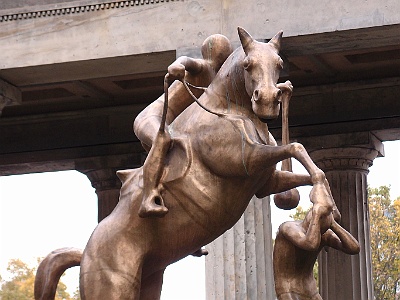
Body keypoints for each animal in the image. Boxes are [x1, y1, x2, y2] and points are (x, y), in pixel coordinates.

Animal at [36, 27, 332, 298]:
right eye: (248, 65)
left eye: (279, 64)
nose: (269, 100)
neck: (229, 108)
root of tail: (86, 253)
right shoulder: (243, 160)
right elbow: (295, 147)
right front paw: (323, 204)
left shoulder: (265, 181)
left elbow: (306, 169)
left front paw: (326, 205)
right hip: (114, 285)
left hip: (149, 279)